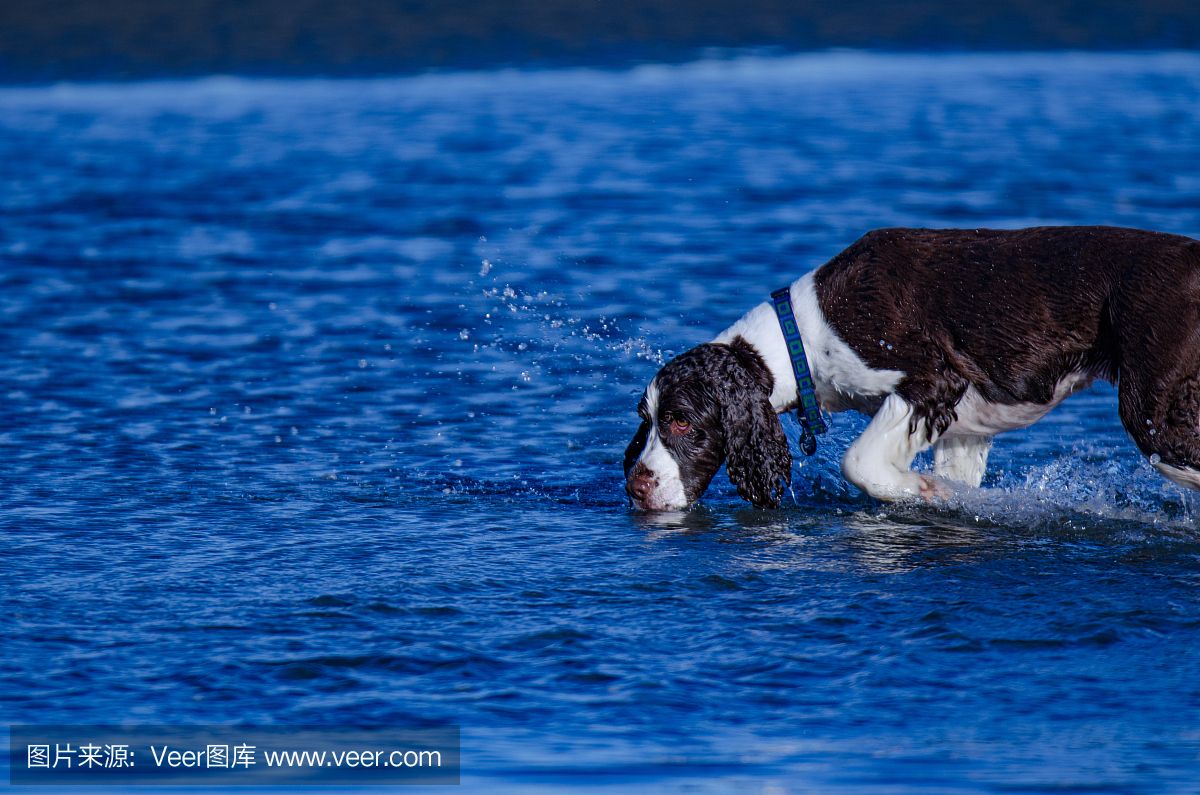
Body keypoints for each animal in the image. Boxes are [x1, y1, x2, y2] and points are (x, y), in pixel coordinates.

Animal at [624, 225, 1200, 511]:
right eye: (645, 419)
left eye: (680, 420)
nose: (635, 488)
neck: (803, 336)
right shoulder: (964, 431)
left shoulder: (932, 381)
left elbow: (858, 462)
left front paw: (919, 490)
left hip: (1155, 415)